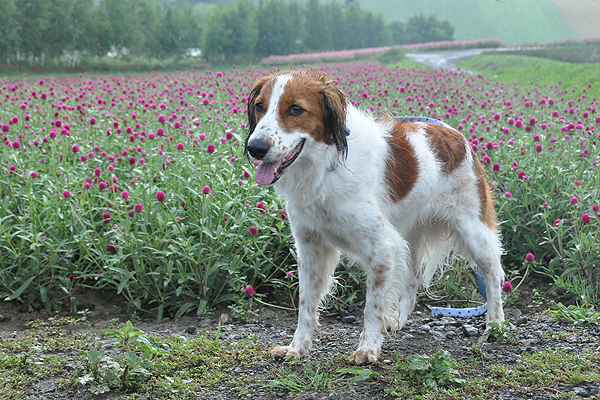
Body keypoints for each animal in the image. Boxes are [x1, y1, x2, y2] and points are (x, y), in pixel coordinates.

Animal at [245, 69, 506, 366]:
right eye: (260, 106)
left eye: (295, 109)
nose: (255, 147)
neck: (326, 166)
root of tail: (455, 134)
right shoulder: (311, 247)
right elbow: (306, 304)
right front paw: (297, 348)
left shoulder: (382, 248)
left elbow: (372, 304)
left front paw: (367, 349)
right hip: (410, 234)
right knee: (414, 277)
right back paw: (398, 320)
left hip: (472, 230)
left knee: (493, 272)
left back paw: (495, 324)